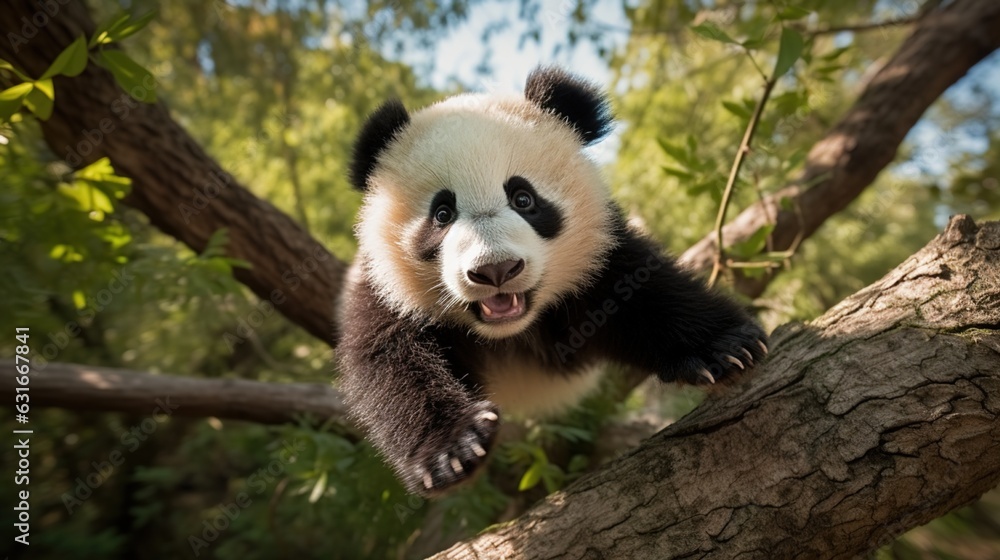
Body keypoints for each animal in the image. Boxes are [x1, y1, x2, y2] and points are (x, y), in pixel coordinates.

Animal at [337, 67, 768, 496]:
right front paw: (455, 449)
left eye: (523, 198)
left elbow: (644, 292)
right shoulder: (382, 286)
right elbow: (390, 361)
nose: (496, 270)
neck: (512, 331)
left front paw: (725, 347)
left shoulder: (599, 253)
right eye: (442, 213)